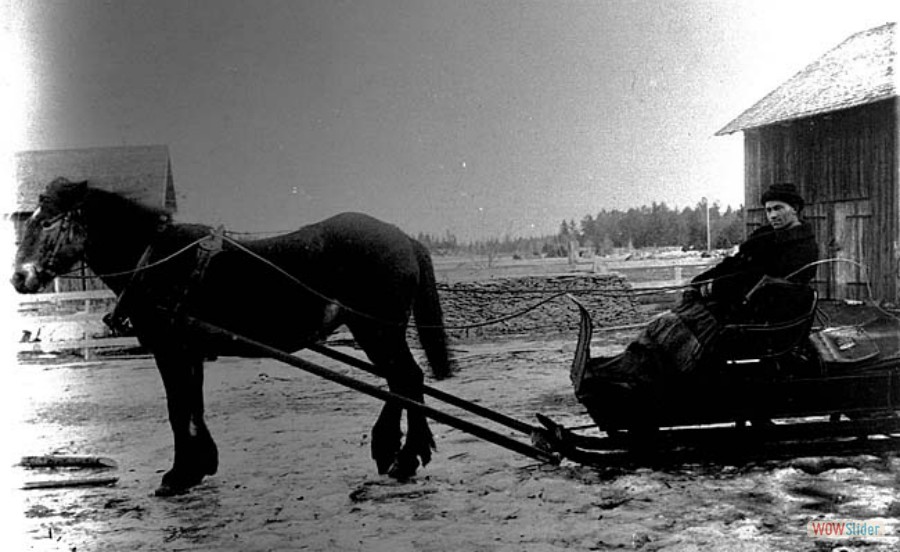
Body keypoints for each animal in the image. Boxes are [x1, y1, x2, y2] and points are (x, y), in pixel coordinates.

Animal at [10, 177, 454, 496]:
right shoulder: (189, 352)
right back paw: (398, 454)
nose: (19, 277)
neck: (154, 261)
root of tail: (401, 236)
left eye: (47, 221)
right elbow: (193, 407)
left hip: (377, 329)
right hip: (377, 331)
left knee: (406, 380)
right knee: (401, 383)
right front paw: (199, 466)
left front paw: (178, 475)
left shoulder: (170, 351)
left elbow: (178, 409)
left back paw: (403, 456)